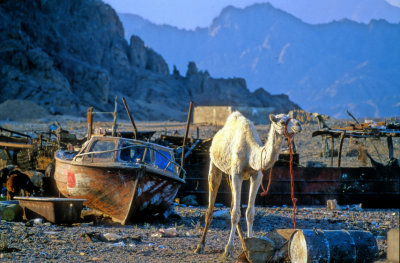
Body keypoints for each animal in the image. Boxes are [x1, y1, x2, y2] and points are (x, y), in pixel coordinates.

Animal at [195, 111, 302, 258]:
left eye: (291, 118)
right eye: (281, 122)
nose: (299, 124)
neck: (251, 153)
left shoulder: (256, 175)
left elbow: (250, 213)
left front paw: (251, 246)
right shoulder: (237, 174)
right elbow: (235, 214)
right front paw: (228, 249)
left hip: (229, 174)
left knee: (232, 205)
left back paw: (243, 243)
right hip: (215, 164)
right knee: (211, 207)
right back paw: (200, 246)